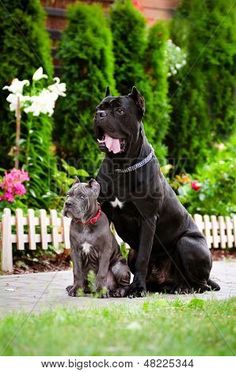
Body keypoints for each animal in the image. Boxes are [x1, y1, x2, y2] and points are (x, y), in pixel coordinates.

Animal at [93, 86, 219, 296]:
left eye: (119, 110)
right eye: (98, 108)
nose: (99, 115)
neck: (122, 166)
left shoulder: (148, 218)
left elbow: (144, 257)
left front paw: (137, 289)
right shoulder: (104, 214)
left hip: (188, 243)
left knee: (201, 285)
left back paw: (182, 288)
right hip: (133, 252)